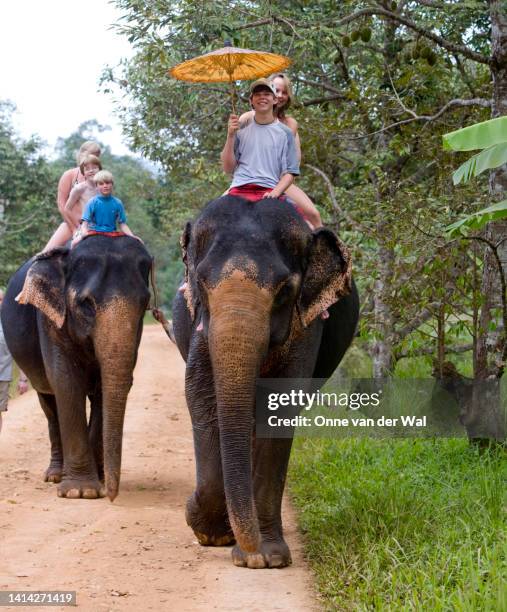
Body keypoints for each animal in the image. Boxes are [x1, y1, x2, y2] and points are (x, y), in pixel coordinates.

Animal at [1, 237, 153, 500]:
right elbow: (66, 380)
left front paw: (97, 482)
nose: (112, 496)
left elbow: (103, 387)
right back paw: (55, 475)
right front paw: (81, 492)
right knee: (49, 404)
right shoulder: (49, 319)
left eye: (144, 304)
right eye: (86, 304)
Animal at [173, 196, 360, 568]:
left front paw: (266, 558)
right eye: (200, 283)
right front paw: (210, 533)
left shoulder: (307, 325)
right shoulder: (201, 324)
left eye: (285, 290)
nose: (252, 551)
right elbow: (201, 395)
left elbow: (280, 406)